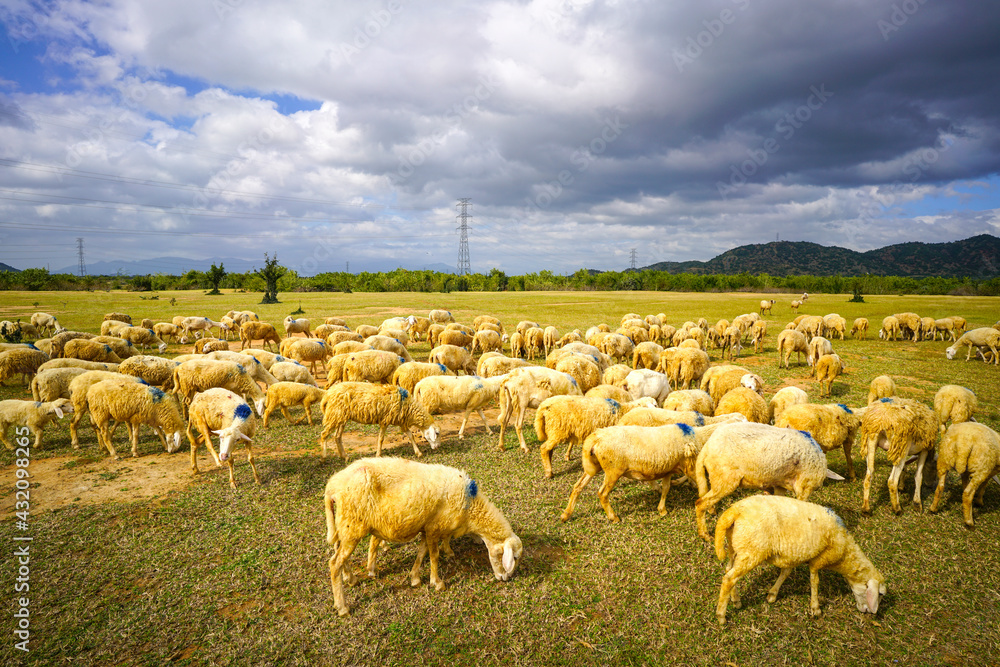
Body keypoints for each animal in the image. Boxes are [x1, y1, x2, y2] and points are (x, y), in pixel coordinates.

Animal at [323, 457, 522, 617]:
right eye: (513, 558)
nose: (506, 578)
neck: (469, 505)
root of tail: (332, 486)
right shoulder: (434, 528)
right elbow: (434, 556)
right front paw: (437, 582)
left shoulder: (427, 527)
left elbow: (422, 552)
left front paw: (415, 578)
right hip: (352, 526)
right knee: (334, 563)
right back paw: (342, 607)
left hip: (344, 525)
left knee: (339, 553)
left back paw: (351, 579)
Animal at [560, 421, 729, 522]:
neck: (699, 437)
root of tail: (596, 437)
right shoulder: (689, 467)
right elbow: (703, 488)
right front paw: (711, 510)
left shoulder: (669, 469)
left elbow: (666, 489)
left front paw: (662, 510)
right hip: (613, 470)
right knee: (602, 493)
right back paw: (613, 517)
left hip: (594, 466)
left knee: (577, 487)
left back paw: (566, 514)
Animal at [694, 422, 837, 540]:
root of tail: (707, 448)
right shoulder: (805, 486)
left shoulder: (780, 485)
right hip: (725, 479)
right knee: (700, 503)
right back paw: (705, 535)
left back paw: (711, 513)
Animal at [713, 495, 886, 625]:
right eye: (880, 594)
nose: (870, 613)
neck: (846, 551)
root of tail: (735, 510)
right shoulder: (819, 559)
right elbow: (815, 581)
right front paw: (815, 608)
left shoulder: (793, 556)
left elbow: (785, 573)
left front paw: (772, 594)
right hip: (752, 551)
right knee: (729, 579)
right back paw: (721, 616)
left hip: (736, 547)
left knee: (729, 572)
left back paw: (736, 600)